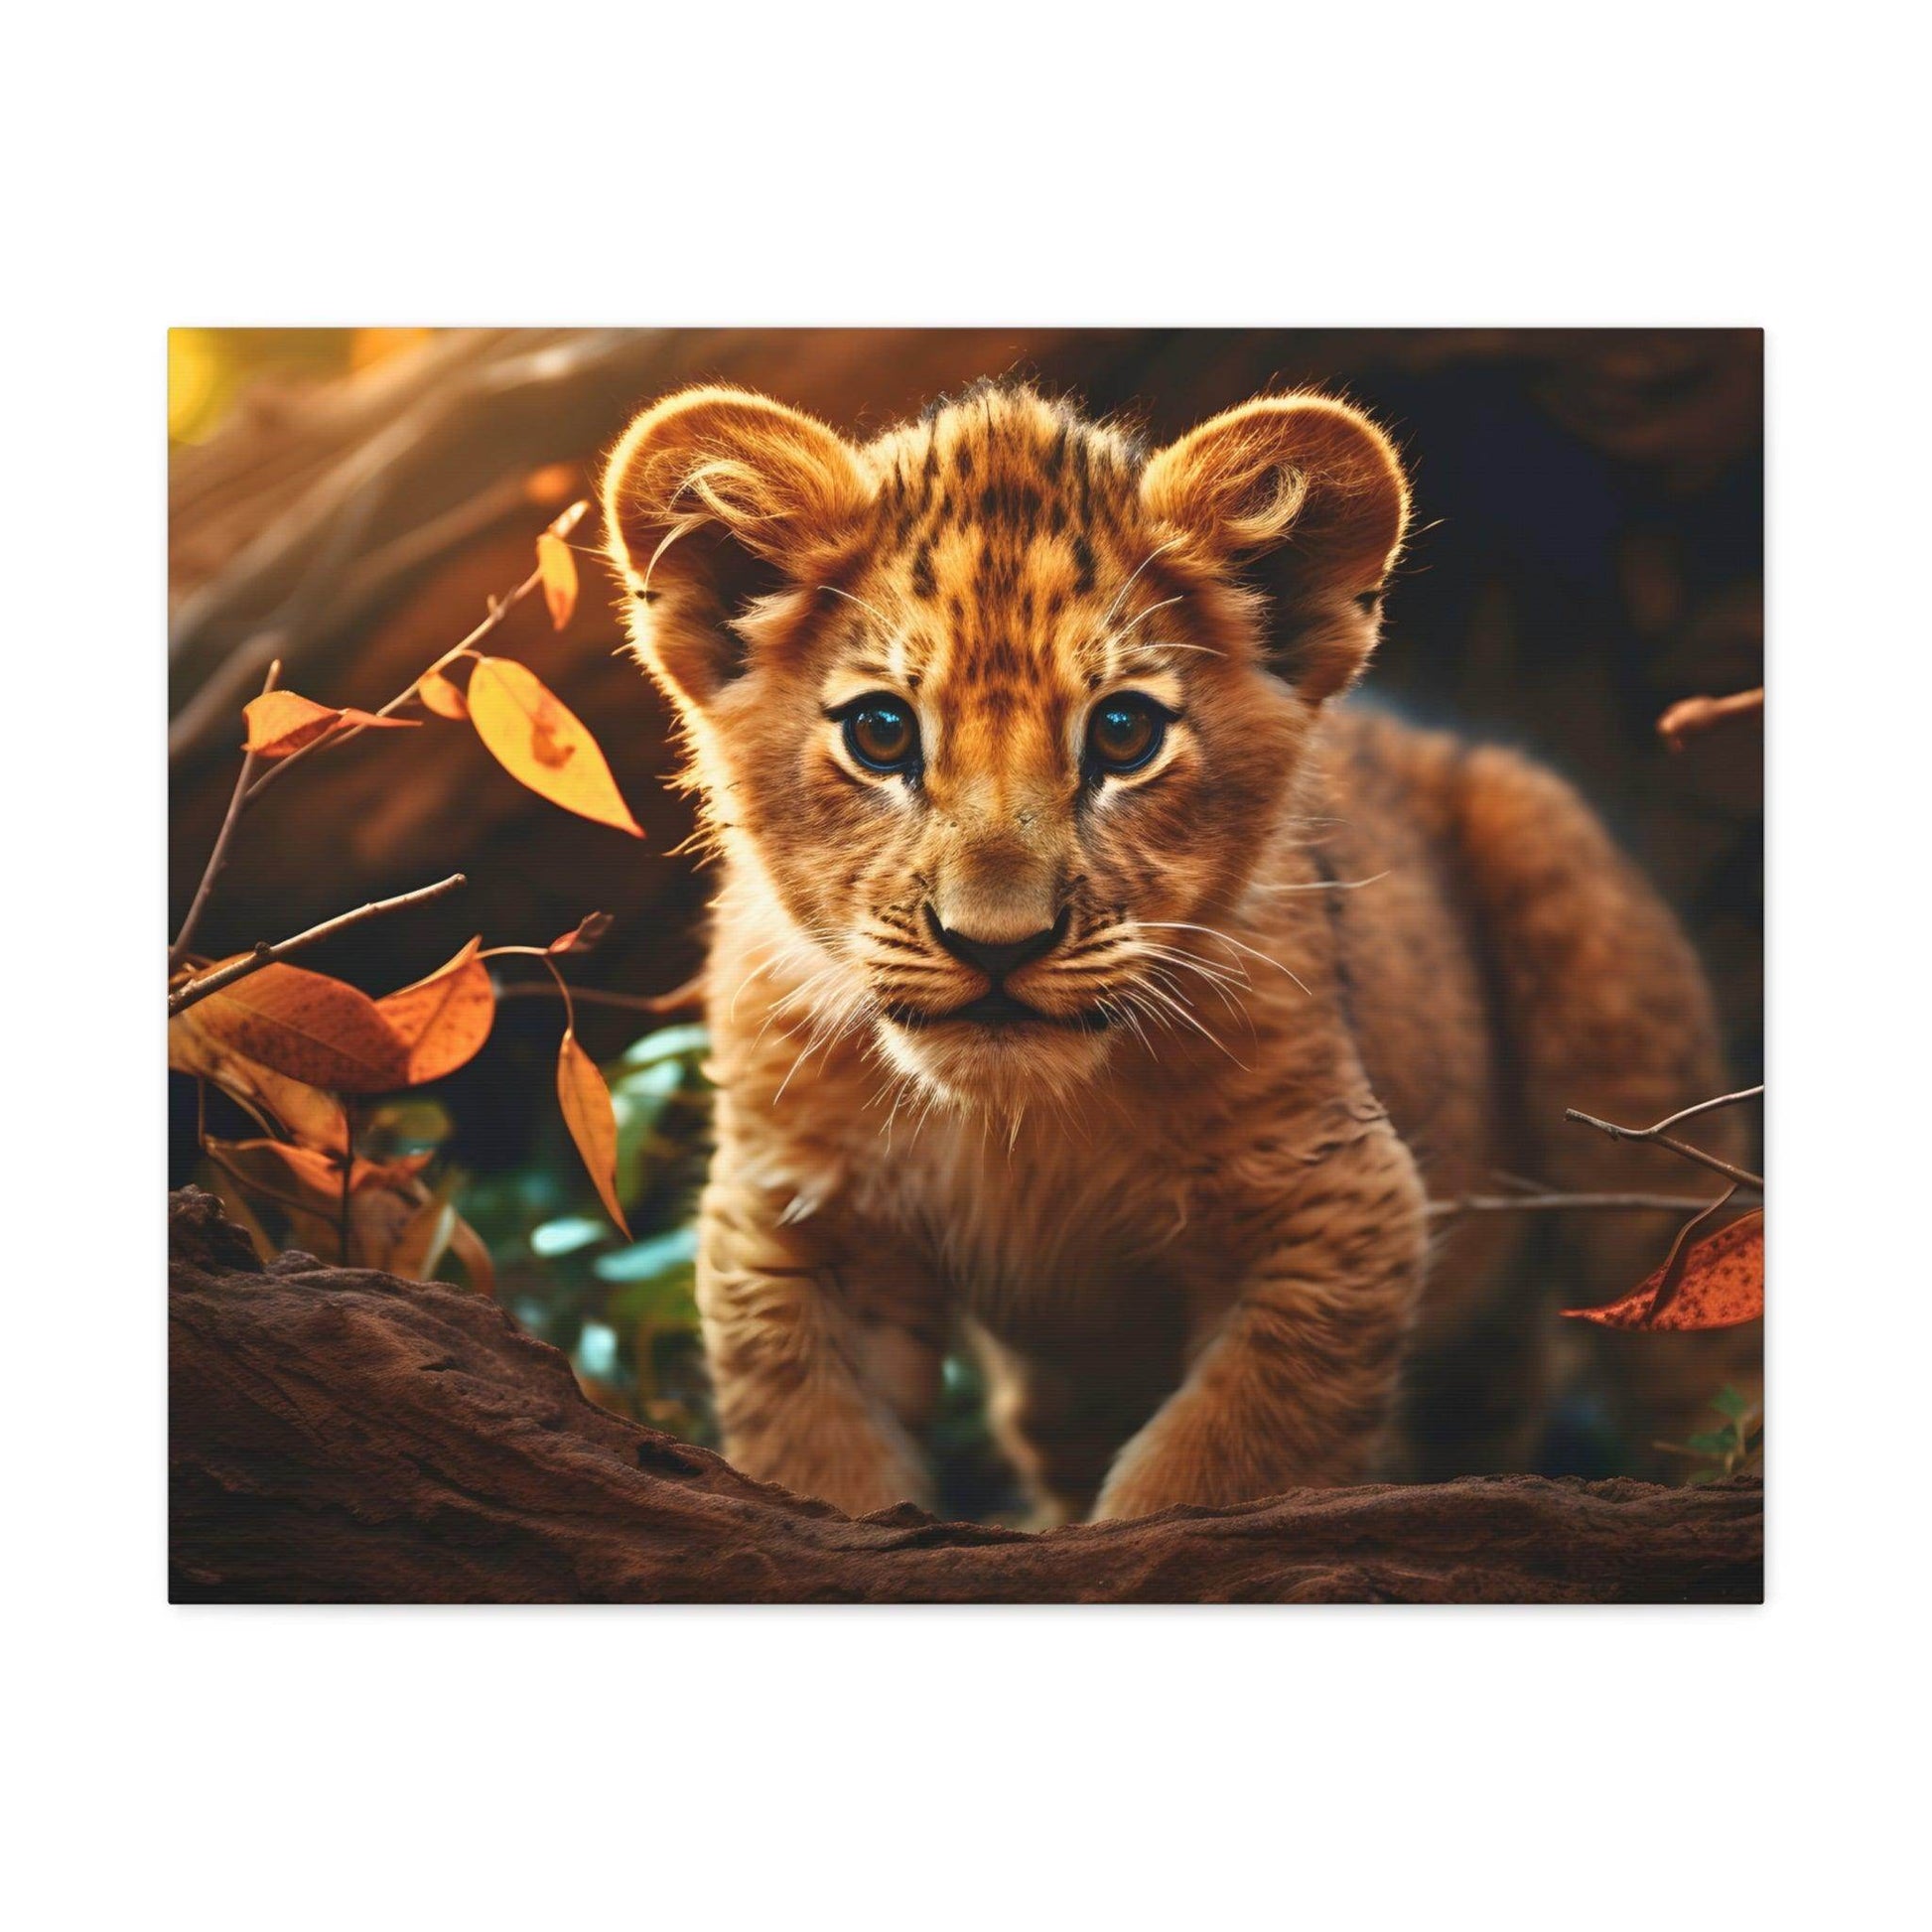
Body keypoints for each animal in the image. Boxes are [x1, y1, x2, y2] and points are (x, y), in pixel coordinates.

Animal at [599, 377, 1752, 1523]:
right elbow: (817, 1459)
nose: (996, 945)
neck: (1018, 1127)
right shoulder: (794, 1225)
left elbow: (1206, 1465)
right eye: (881, 733)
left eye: (1123, 734)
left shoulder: (1338, 1201)